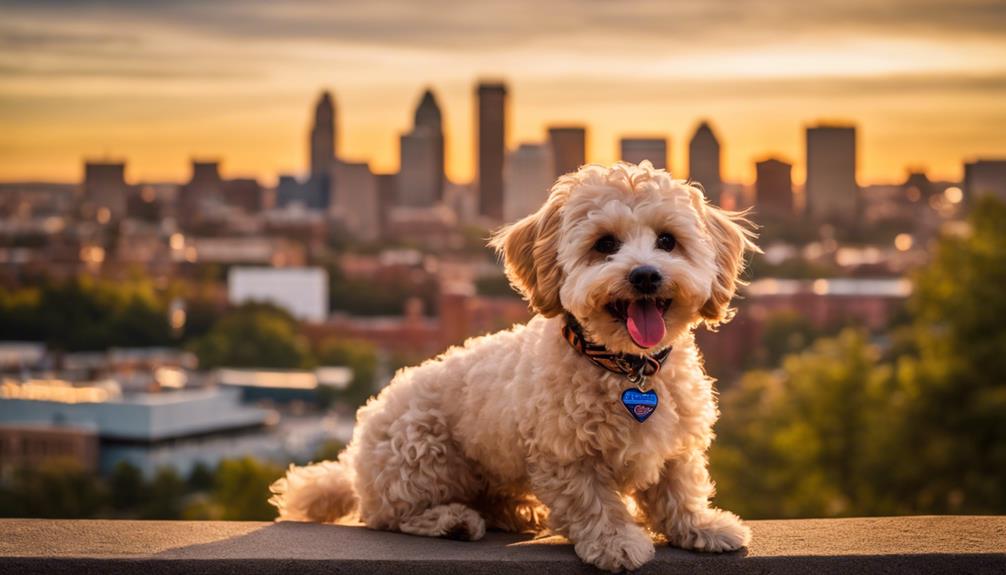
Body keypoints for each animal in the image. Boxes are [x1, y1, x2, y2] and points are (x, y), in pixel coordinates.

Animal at [271, 160, 756, 570]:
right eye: (605, 244)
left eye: (667, 241)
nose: (645, 275)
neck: (625, 367)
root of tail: (355, 466)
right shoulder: (566, 456)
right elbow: (594, 504)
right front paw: (616, 542)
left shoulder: (675, 444)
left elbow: (679, 490)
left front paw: (701, 527)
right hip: (420, 450)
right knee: (390, 514)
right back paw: (452, 521)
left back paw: (518, 511)